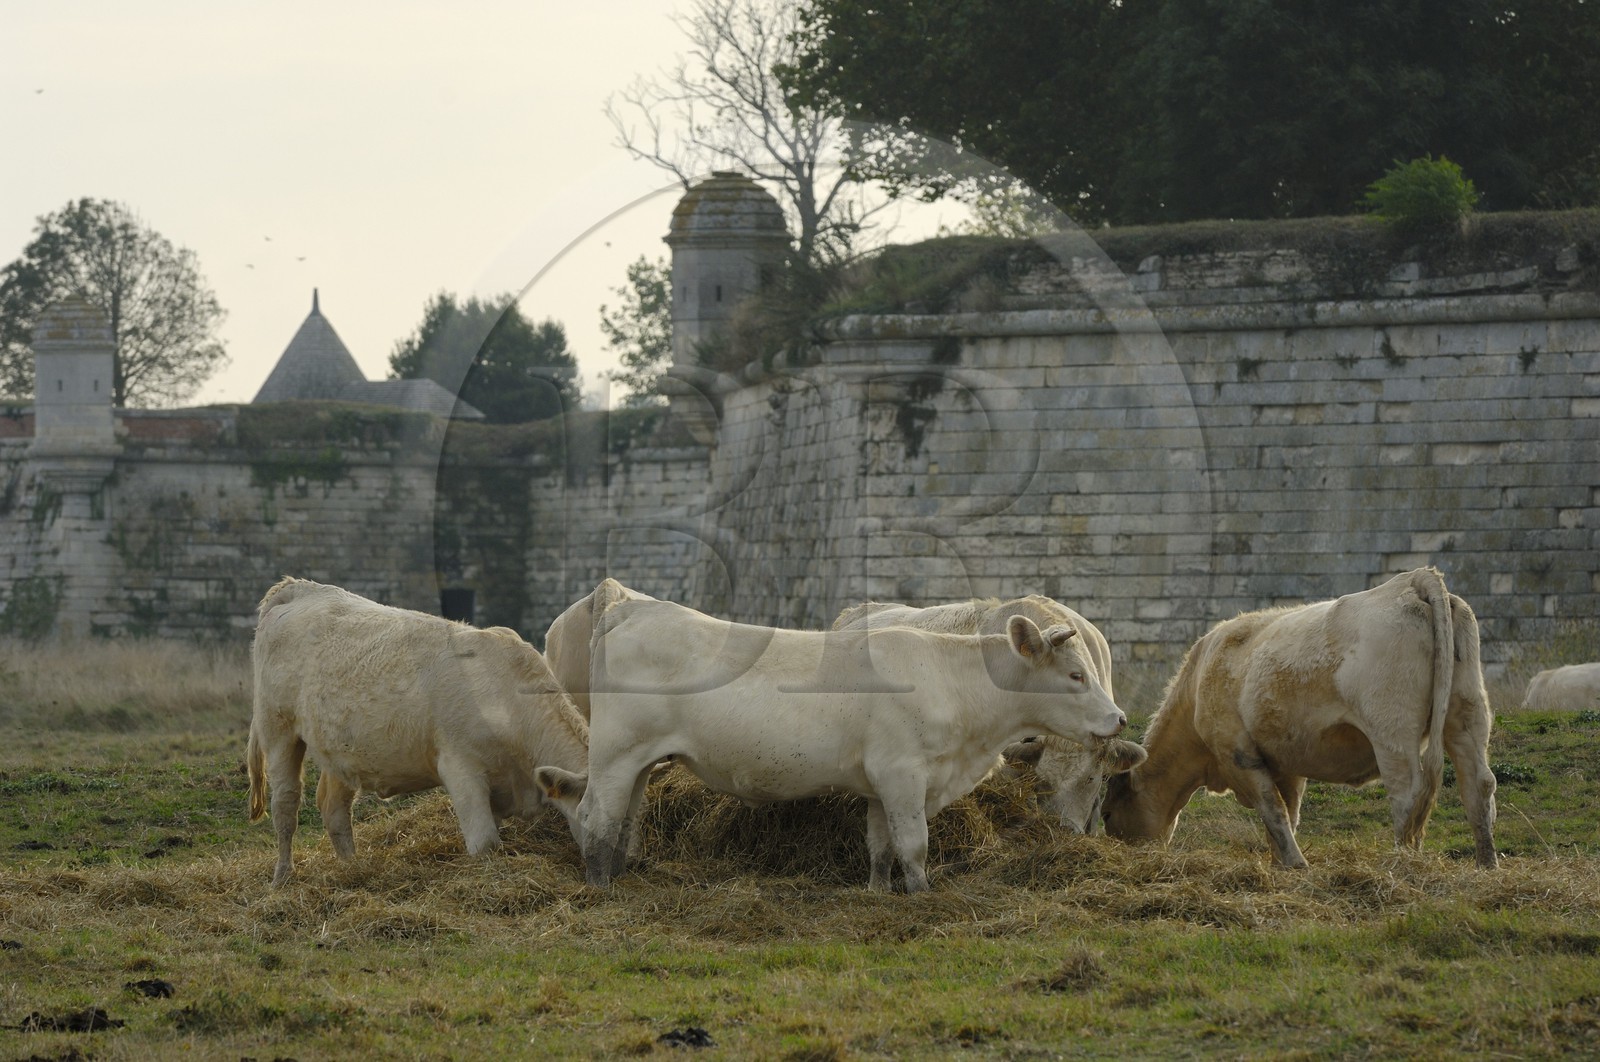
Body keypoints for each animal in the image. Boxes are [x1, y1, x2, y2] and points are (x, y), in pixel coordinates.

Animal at [246, 577, 590, 885]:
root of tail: (299, 587)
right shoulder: (461, 770)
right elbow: (485, 845)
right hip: (277, 728)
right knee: (286, 804)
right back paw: (282, 878)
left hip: (338, 749)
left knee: (334, 809)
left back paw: (352, 867)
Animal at [1102, 568, 1498, 869]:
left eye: (1106, 815)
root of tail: (1414, 578)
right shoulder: (1285, 761)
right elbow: (1288, 813)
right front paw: (1281, 864)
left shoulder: (1238, 753)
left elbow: (1273, 810)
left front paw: (1295, 864)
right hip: (1467, 713)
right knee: (1478, 785)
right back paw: (1486, 865)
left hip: (1392, 728)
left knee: (1408, 793)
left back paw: (1401, 864)